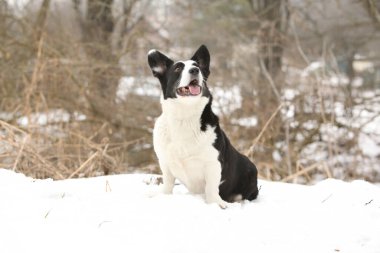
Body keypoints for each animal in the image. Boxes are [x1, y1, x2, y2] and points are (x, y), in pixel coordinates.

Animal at [146, 45, 258, 208]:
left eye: (197, 66)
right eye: (178, 68)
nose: (195, 70)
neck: (185, 117)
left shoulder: (213, 164)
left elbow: (211, 188)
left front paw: (216, 204)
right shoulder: (165, 163)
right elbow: (167, 184)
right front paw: (163, 196)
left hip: (250, 172)